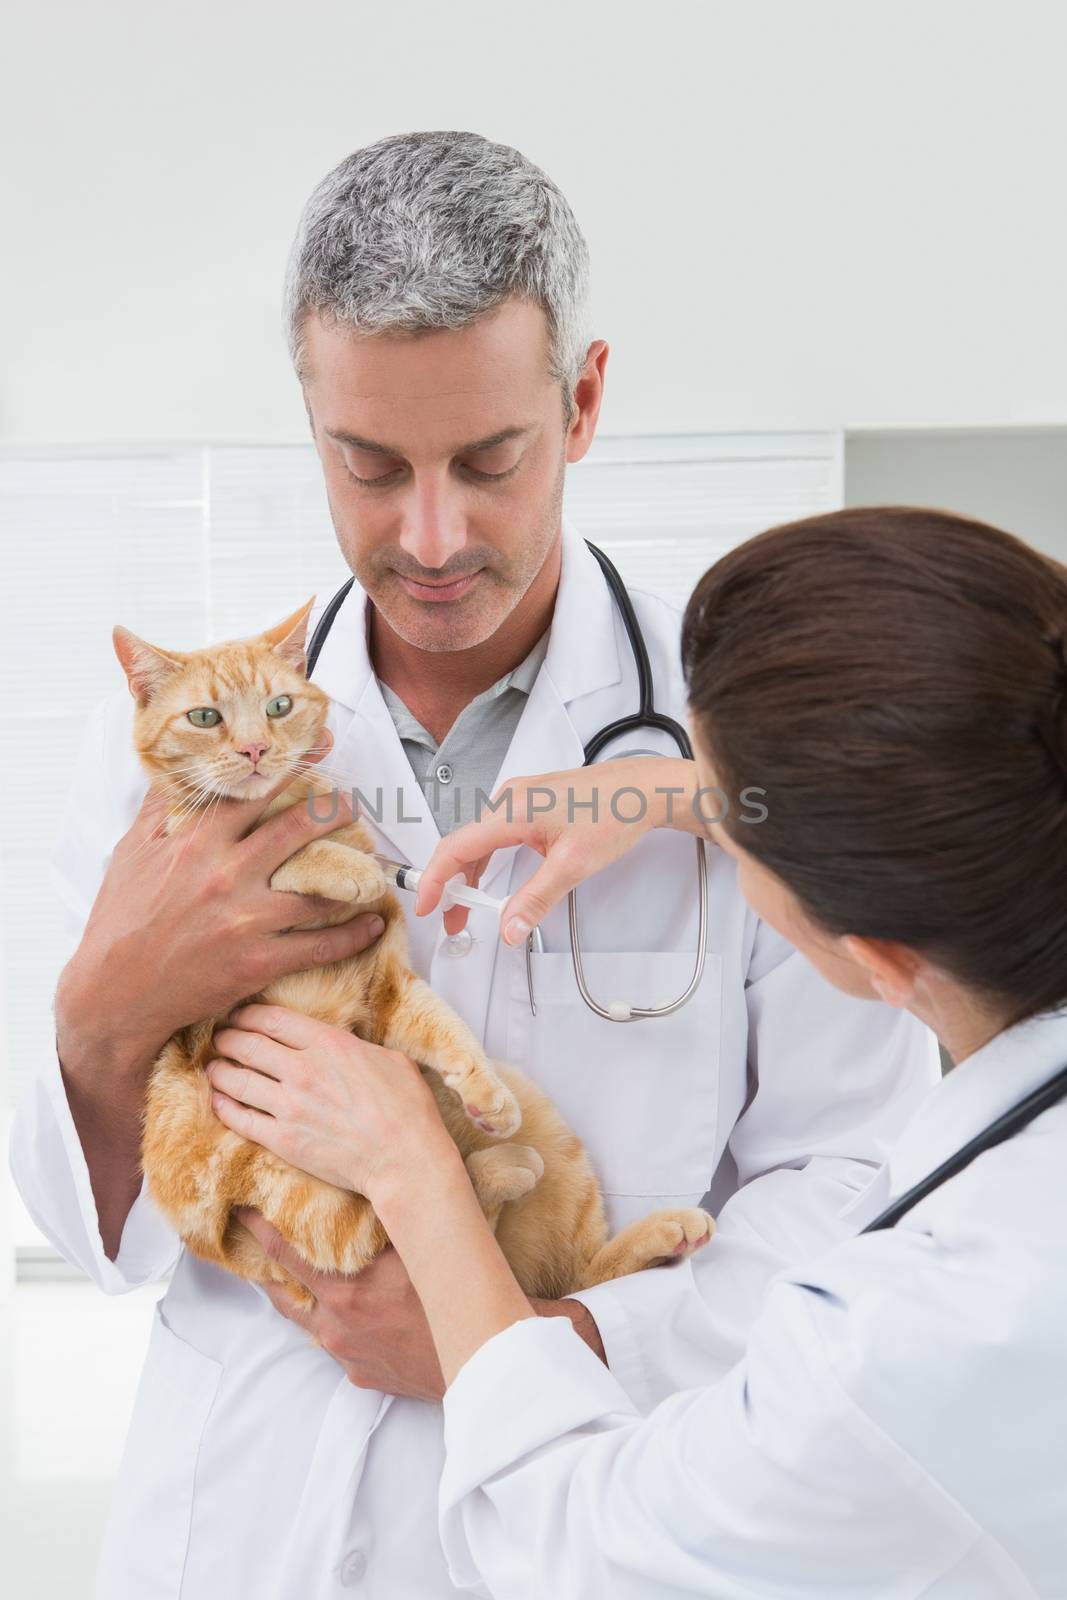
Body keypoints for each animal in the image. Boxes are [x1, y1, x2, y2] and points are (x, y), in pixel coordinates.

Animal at [112, 601, 713, 1312]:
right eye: (205, 718)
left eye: (279, 706)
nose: (255, 749)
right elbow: (290, 857)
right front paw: (346, 867)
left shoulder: (389, 986)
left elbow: (445, 1029)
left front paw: (484, 1090)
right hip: (286, 1183)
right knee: (403, 1231)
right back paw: (506, 1169)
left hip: (549, 1136)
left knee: (548, 1281)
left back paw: (650, 1225)